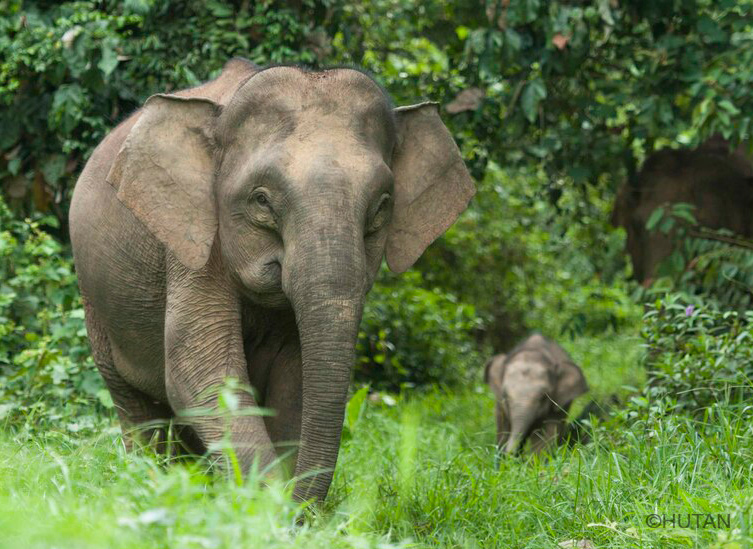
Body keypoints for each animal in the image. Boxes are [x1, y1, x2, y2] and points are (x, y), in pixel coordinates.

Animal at [68, 58, 475, 502]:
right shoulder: (193, 245)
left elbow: (293, 380)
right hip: (97, 304)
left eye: (382, 207)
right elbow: (200, 369)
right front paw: (267, 501)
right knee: (137, 408)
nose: (305, 509)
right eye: (261, 201)